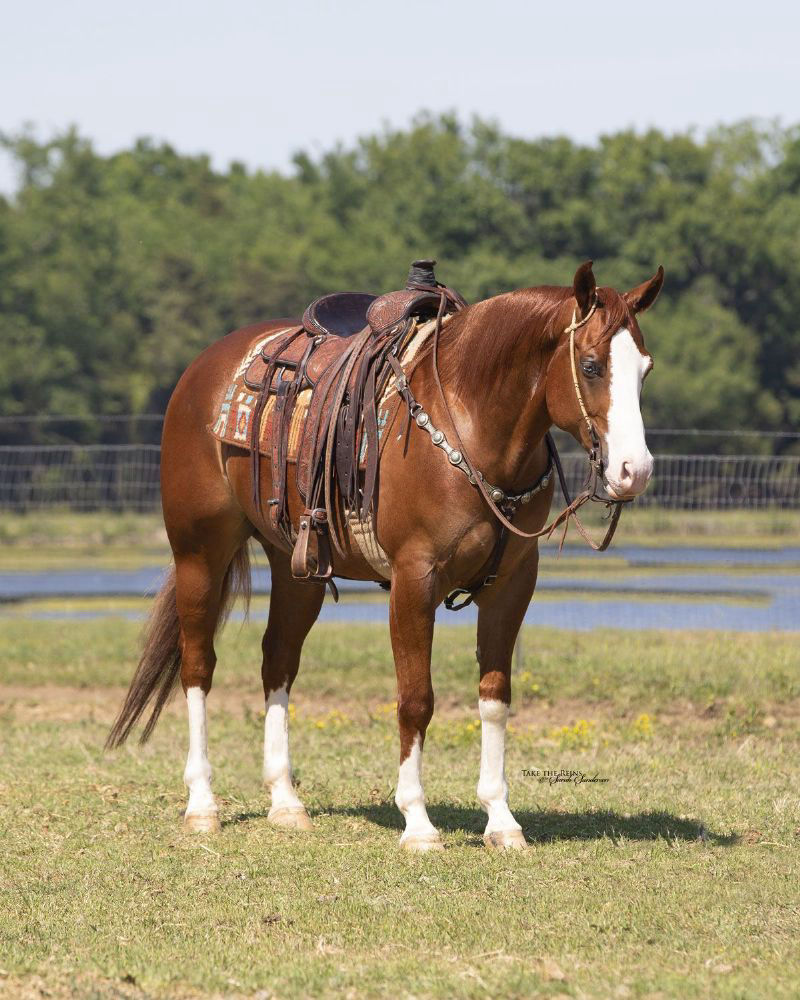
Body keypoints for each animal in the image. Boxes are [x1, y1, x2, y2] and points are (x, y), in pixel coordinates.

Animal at [107, 259, 663, 851]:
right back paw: (202, 805)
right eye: (591, 365)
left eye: (645, 369)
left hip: (297, 568)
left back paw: (286, 802)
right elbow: (416, 698)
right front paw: (418, 823)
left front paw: (500, 819)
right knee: (198, 666)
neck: (469, 422)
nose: (635, 471)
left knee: (277, 661)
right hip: (200, 553)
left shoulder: (512, 585)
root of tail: (203, 368)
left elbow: (495, 697)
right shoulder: (414, 580)